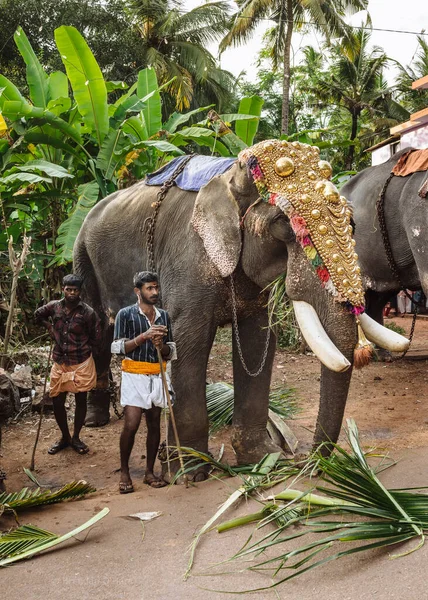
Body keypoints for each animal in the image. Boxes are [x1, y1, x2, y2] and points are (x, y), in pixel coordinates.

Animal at [72, 139, 406, 468]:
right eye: (284, 223)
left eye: (351, 222)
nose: (303, 460)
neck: (231, 173)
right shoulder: (187, 261)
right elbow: (187, 343)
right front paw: (192, 469)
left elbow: (256, 340)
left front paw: (262, 457)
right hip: (81, 254)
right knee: (99, 333)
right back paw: (95, 422)